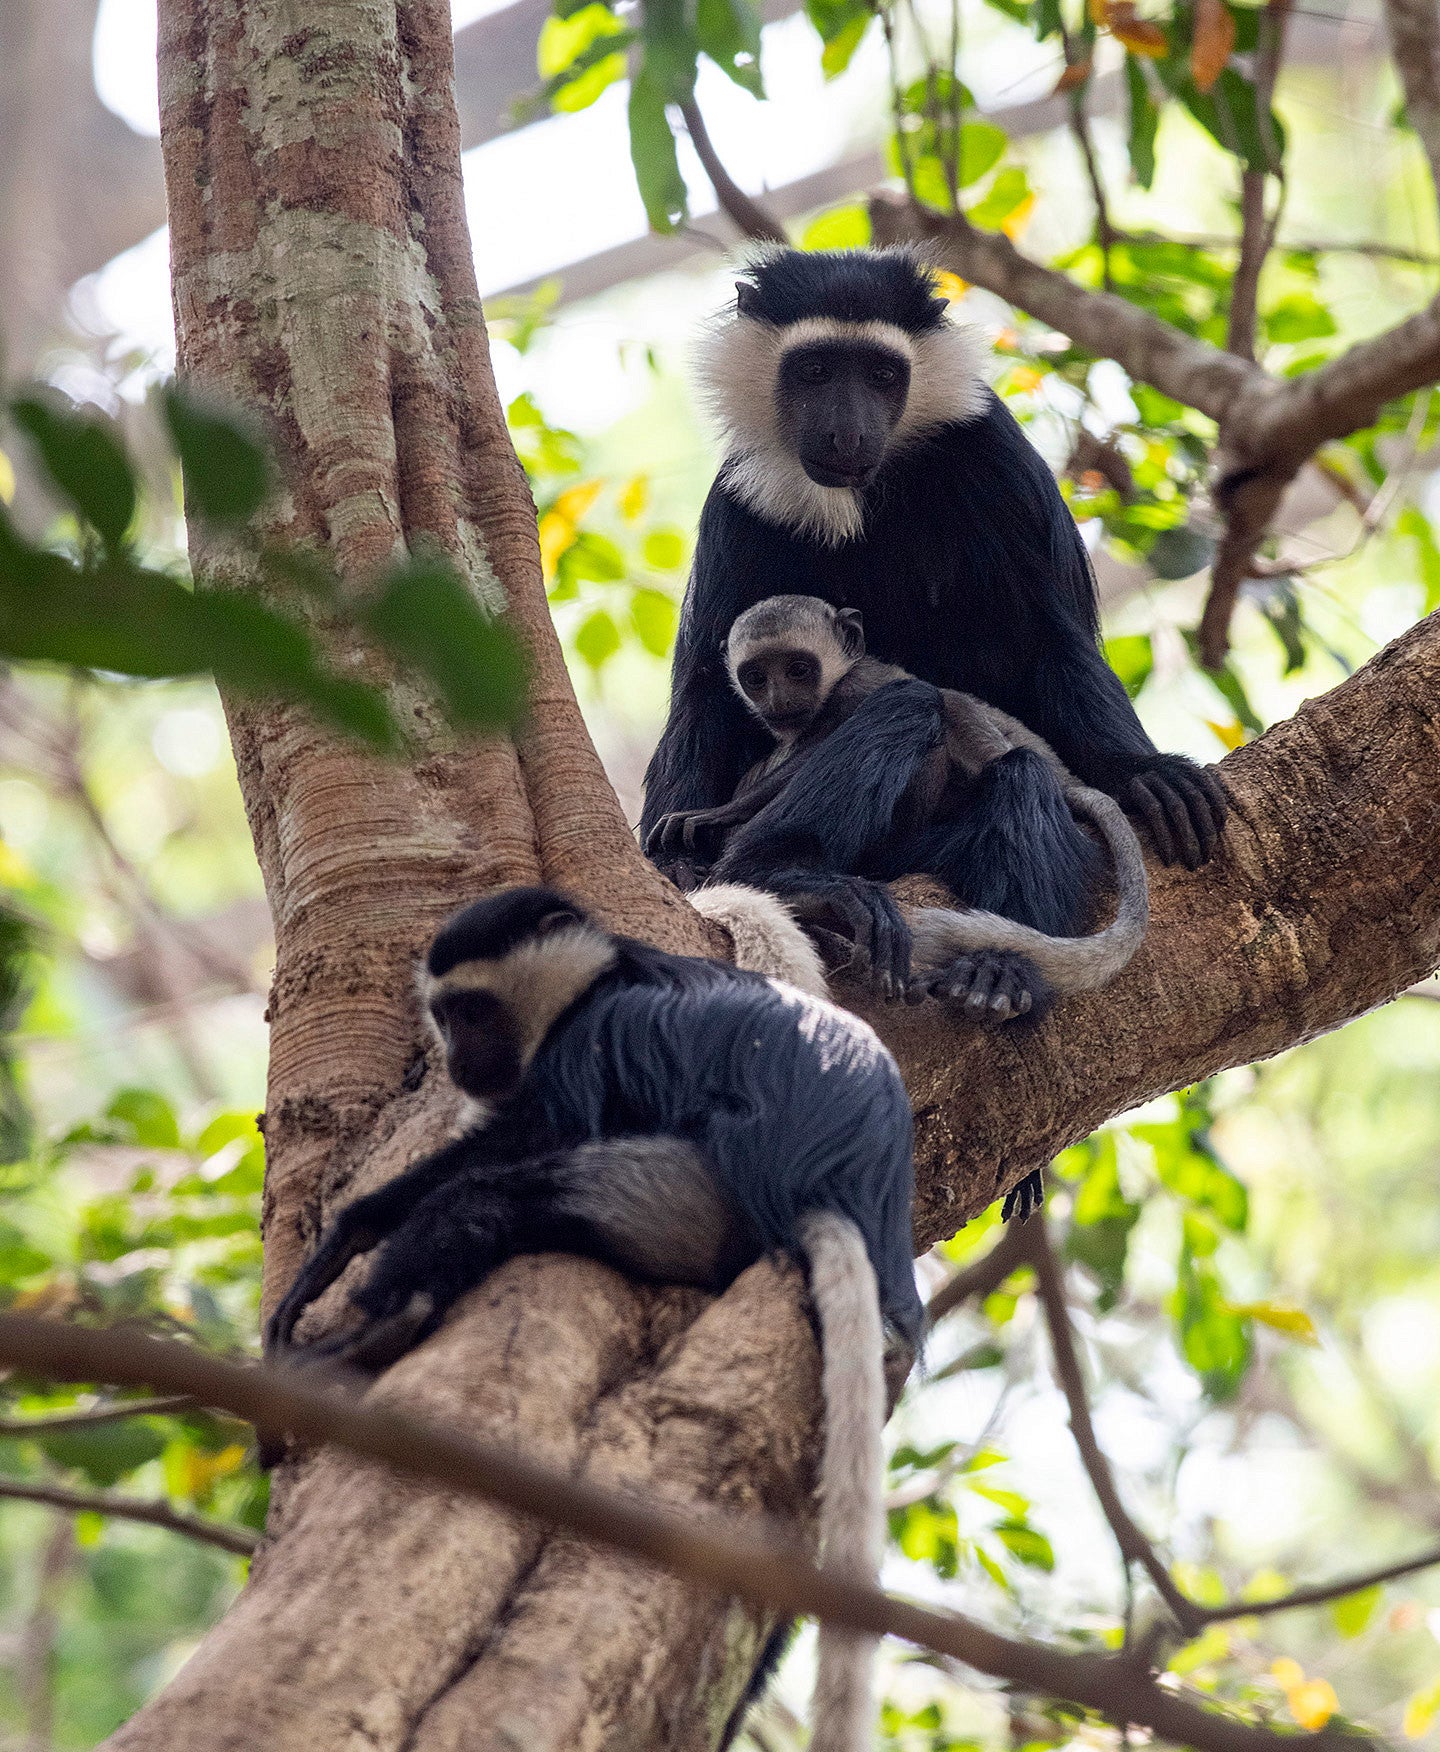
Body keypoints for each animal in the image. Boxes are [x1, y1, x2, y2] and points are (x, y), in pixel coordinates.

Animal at [265, 885, 923, 1752]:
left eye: (472, 1011)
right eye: (444, 1015)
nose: (458, 1061)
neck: (596, 982)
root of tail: (834, 1194)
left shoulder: (592, 1041)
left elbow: (541, 1130)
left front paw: (353, 1232)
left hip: (684, 1194)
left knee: (492, 1198)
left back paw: (381, 1325)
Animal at [650, 596, 1149, 1021]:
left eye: (798, 669)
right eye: (756, 677)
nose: (780, 702)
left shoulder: (853, 688)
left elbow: (818, 745)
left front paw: (716, 816)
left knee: (921, 704)